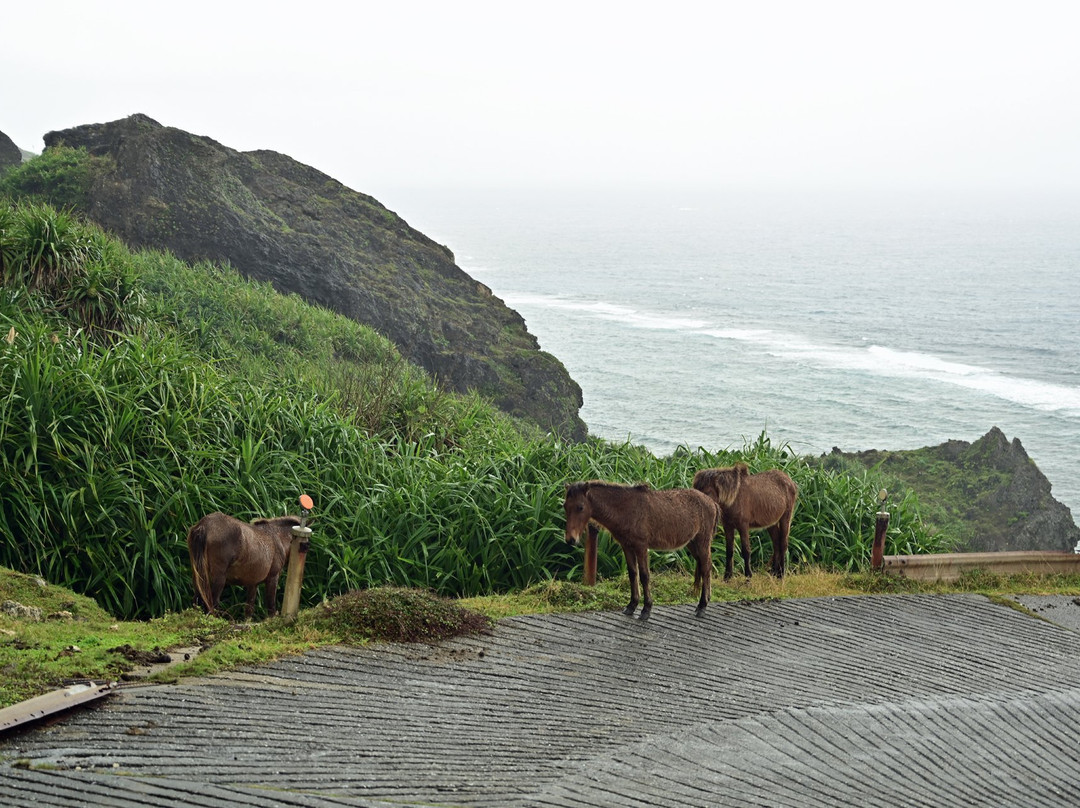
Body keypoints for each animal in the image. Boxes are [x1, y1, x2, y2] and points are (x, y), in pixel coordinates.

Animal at [561, 479, 721, 617]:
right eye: (565, 506)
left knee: (706, 568)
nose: (570, 539)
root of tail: (711, 502)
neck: (626, 509)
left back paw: (702, 606)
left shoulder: (641, 547)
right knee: (704, 567)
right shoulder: (627, 547)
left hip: (702, 543)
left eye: (580, 507)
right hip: (692, 544)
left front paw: (646, 609)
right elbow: (633, 574)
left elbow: (644, 575)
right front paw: (632, 605)